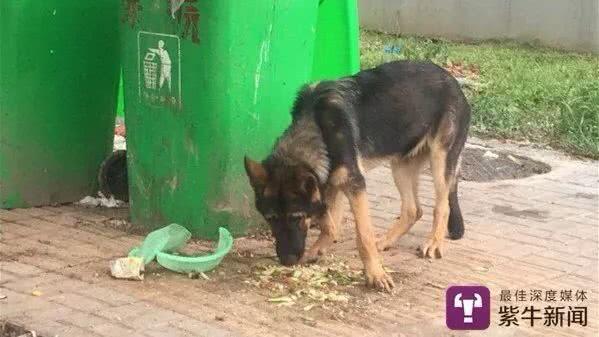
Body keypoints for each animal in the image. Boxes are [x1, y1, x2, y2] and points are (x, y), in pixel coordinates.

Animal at [246, 59, 472, 288]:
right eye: (271, 219)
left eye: (296, 217)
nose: (287, 261)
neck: (317, 128)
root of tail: (453, 81)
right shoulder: (332, 182)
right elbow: (331, 224)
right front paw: (317, 250)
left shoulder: (354, 184)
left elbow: (363, 235)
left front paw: (375, 274)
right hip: (400, 166)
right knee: (412, 210)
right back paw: (386, 241)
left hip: (440, 160)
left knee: (441, 206)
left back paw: (433, 242)